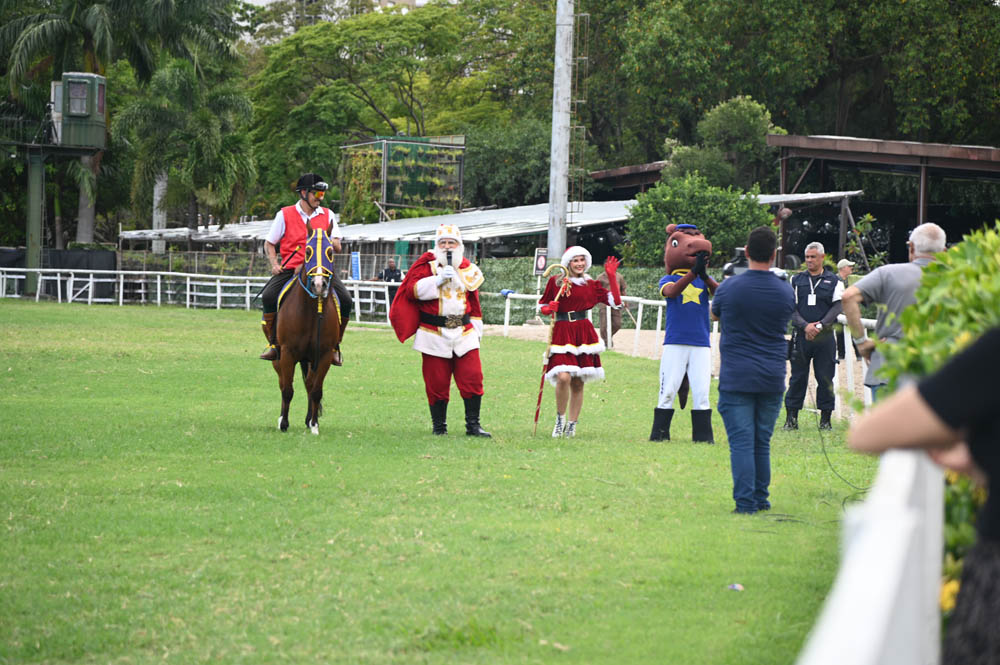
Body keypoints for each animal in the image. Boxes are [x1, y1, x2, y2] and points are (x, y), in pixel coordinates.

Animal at [272, 228, 344, 434]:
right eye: (307, 251)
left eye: (330, 251)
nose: (319, 285)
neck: (312, 312)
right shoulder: (287, 353)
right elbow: (287, 390)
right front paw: (284, 423)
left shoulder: (324, 355)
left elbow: (316, 391)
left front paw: (314, 424)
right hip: (278, 358)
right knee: (283, 383)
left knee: (309, 385)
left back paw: (309, 419)